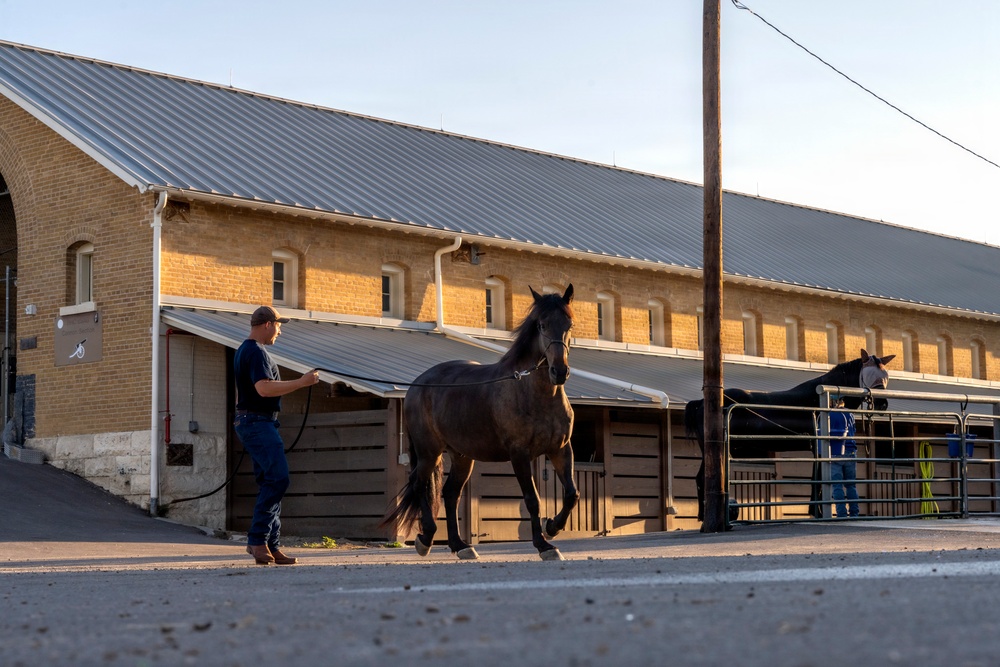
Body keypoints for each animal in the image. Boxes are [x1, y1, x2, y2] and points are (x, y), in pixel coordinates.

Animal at [380, 284, 578, 561]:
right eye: (541, 325)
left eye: (569, 324)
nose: (559, 372)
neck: (534, 393)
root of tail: (417, 385)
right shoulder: (519, 454)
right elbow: (532, 499)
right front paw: (544, 545)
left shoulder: (561, 449)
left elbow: (571, 494)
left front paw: (552, 528)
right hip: (429, 452)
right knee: (420, 485)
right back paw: (426, 538)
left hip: (462, 456)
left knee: (450, 494)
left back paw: (460, 545)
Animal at [684, 349, 895, 522]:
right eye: (869, 375)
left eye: (885, 377)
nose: (883, 404)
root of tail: (701, 402)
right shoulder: (819, 447)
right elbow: (818, 478)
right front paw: (817, 511)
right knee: (701, 478)